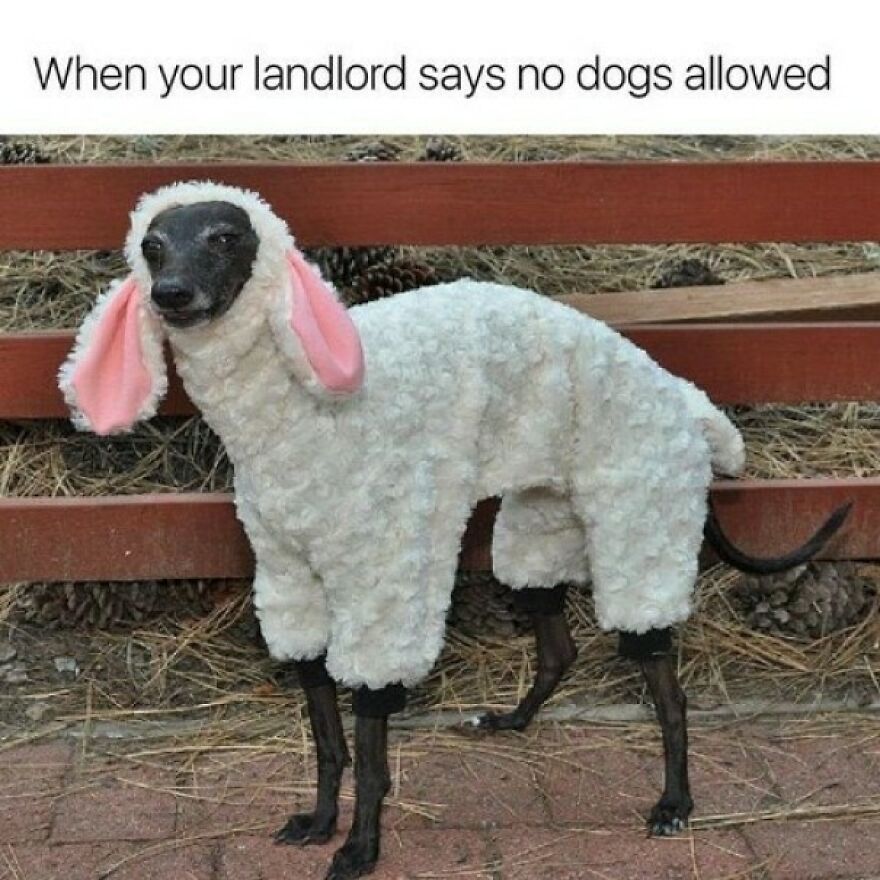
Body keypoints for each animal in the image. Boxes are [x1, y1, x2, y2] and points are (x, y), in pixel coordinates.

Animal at [60, 181, 848, 880]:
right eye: (152, 246)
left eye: (226, 239)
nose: (171, 296)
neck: (299, 419)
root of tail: (688, 405)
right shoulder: (290, 582)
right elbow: (327, 736)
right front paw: (319, 821)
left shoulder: (383, 584)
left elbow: (371, 743)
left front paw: (360, 849)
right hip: (536, 537)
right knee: (558, 648)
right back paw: (511, 722)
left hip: (640, 526)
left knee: (670, 692)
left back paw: (674, 804)